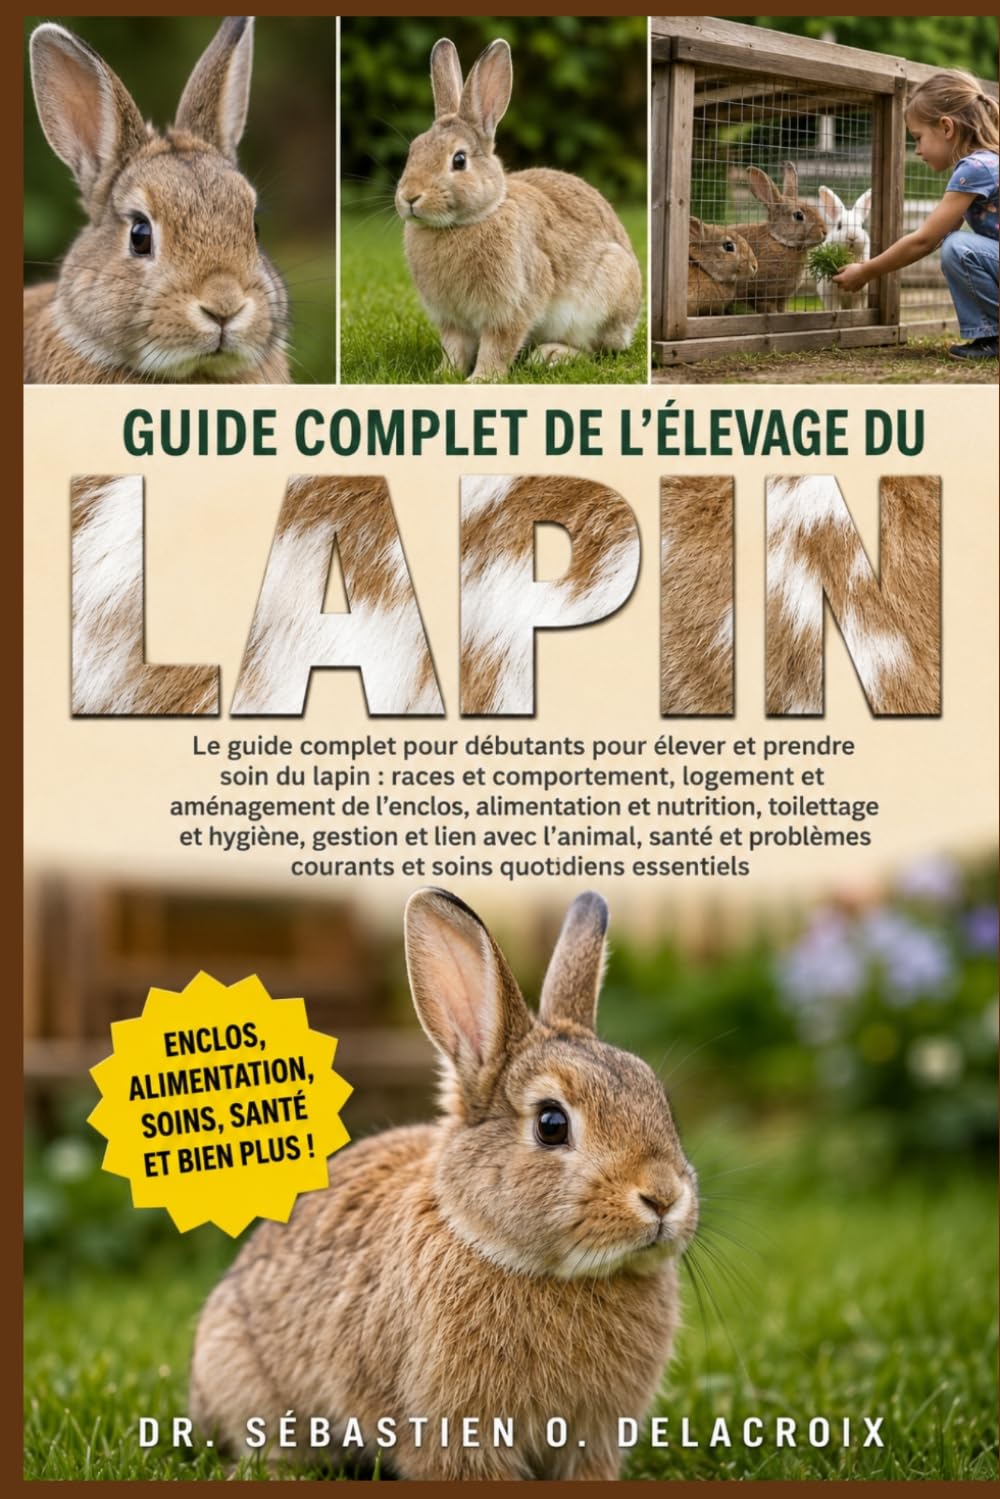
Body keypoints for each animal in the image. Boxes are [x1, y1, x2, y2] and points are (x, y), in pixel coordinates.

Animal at [395, 39, 643, 382]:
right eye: (413, 151)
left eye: (459, 160)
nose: (409, 196)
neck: (463, 223)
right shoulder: (452, 319)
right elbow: (454, 347)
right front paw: (442, 375)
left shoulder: (512, 306)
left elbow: (498, 345)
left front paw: (482, 379)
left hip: (600, 300)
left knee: (596, 349)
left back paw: (551, 355)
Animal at [730, 162, 827, 314]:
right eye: (799, 215)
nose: (824, 232)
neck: (780, 242)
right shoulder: (759, 292)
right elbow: (763, 305)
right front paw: (772, 312)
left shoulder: (781, 297)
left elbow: (781, 308)